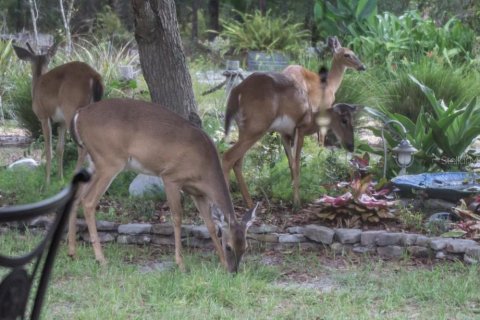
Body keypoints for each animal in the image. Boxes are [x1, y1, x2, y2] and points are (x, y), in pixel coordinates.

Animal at [12, 43, 103, 186]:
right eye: (48, 60)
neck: (37, 84)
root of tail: (94, 76)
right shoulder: (62, 122)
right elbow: (60, 149)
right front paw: (60, 178)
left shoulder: (43, 116)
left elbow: (48, 148)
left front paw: (47, 181)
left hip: (72, 109)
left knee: (82, 147)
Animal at [69, 98, 256, 272]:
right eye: (229, 246)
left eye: (245, 247)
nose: (233, 271)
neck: (204, 168)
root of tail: (79, 114)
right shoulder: (171, 177)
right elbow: (177, 218)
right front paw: (180, 263)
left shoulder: (197, 193)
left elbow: (210, 224)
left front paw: (222, 263)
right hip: (109, 160)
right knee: (88, 201)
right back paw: (100, 259)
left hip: (92, 160)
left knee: (76, 196)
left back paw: (73, 253)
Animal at [223, 36, 366, 206]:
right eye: (347, 54)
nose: (351, 146)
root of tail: (237, 91)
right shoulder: (301, 128)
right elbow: (301, 160)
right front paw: (297, 202)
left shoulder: (284, 133)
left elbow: (291, 164)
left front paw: (293, 196)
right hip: (256, 127)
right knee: (227, 157)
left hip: (244, 128)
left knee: (237, 162)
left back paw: (249, 203)